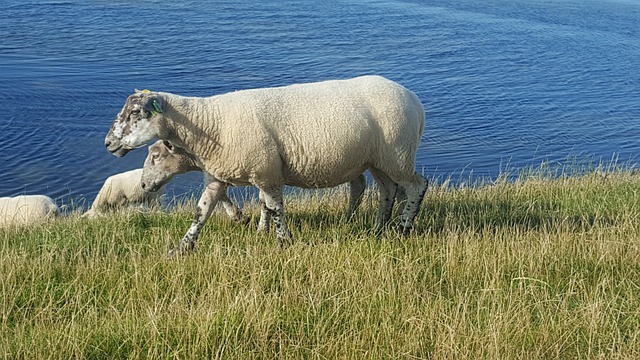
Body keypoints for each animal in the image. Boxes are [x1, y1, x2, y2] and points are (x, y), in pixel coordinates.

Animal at [142, 139, 368, 232]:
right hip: (354, 163)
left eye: (156, 156)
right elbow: (259, 201)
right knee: (359, 184)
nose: (143, 184)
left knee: (359, 186)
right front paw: (255, 224)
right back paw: (349, 216)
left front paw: (246, 220)